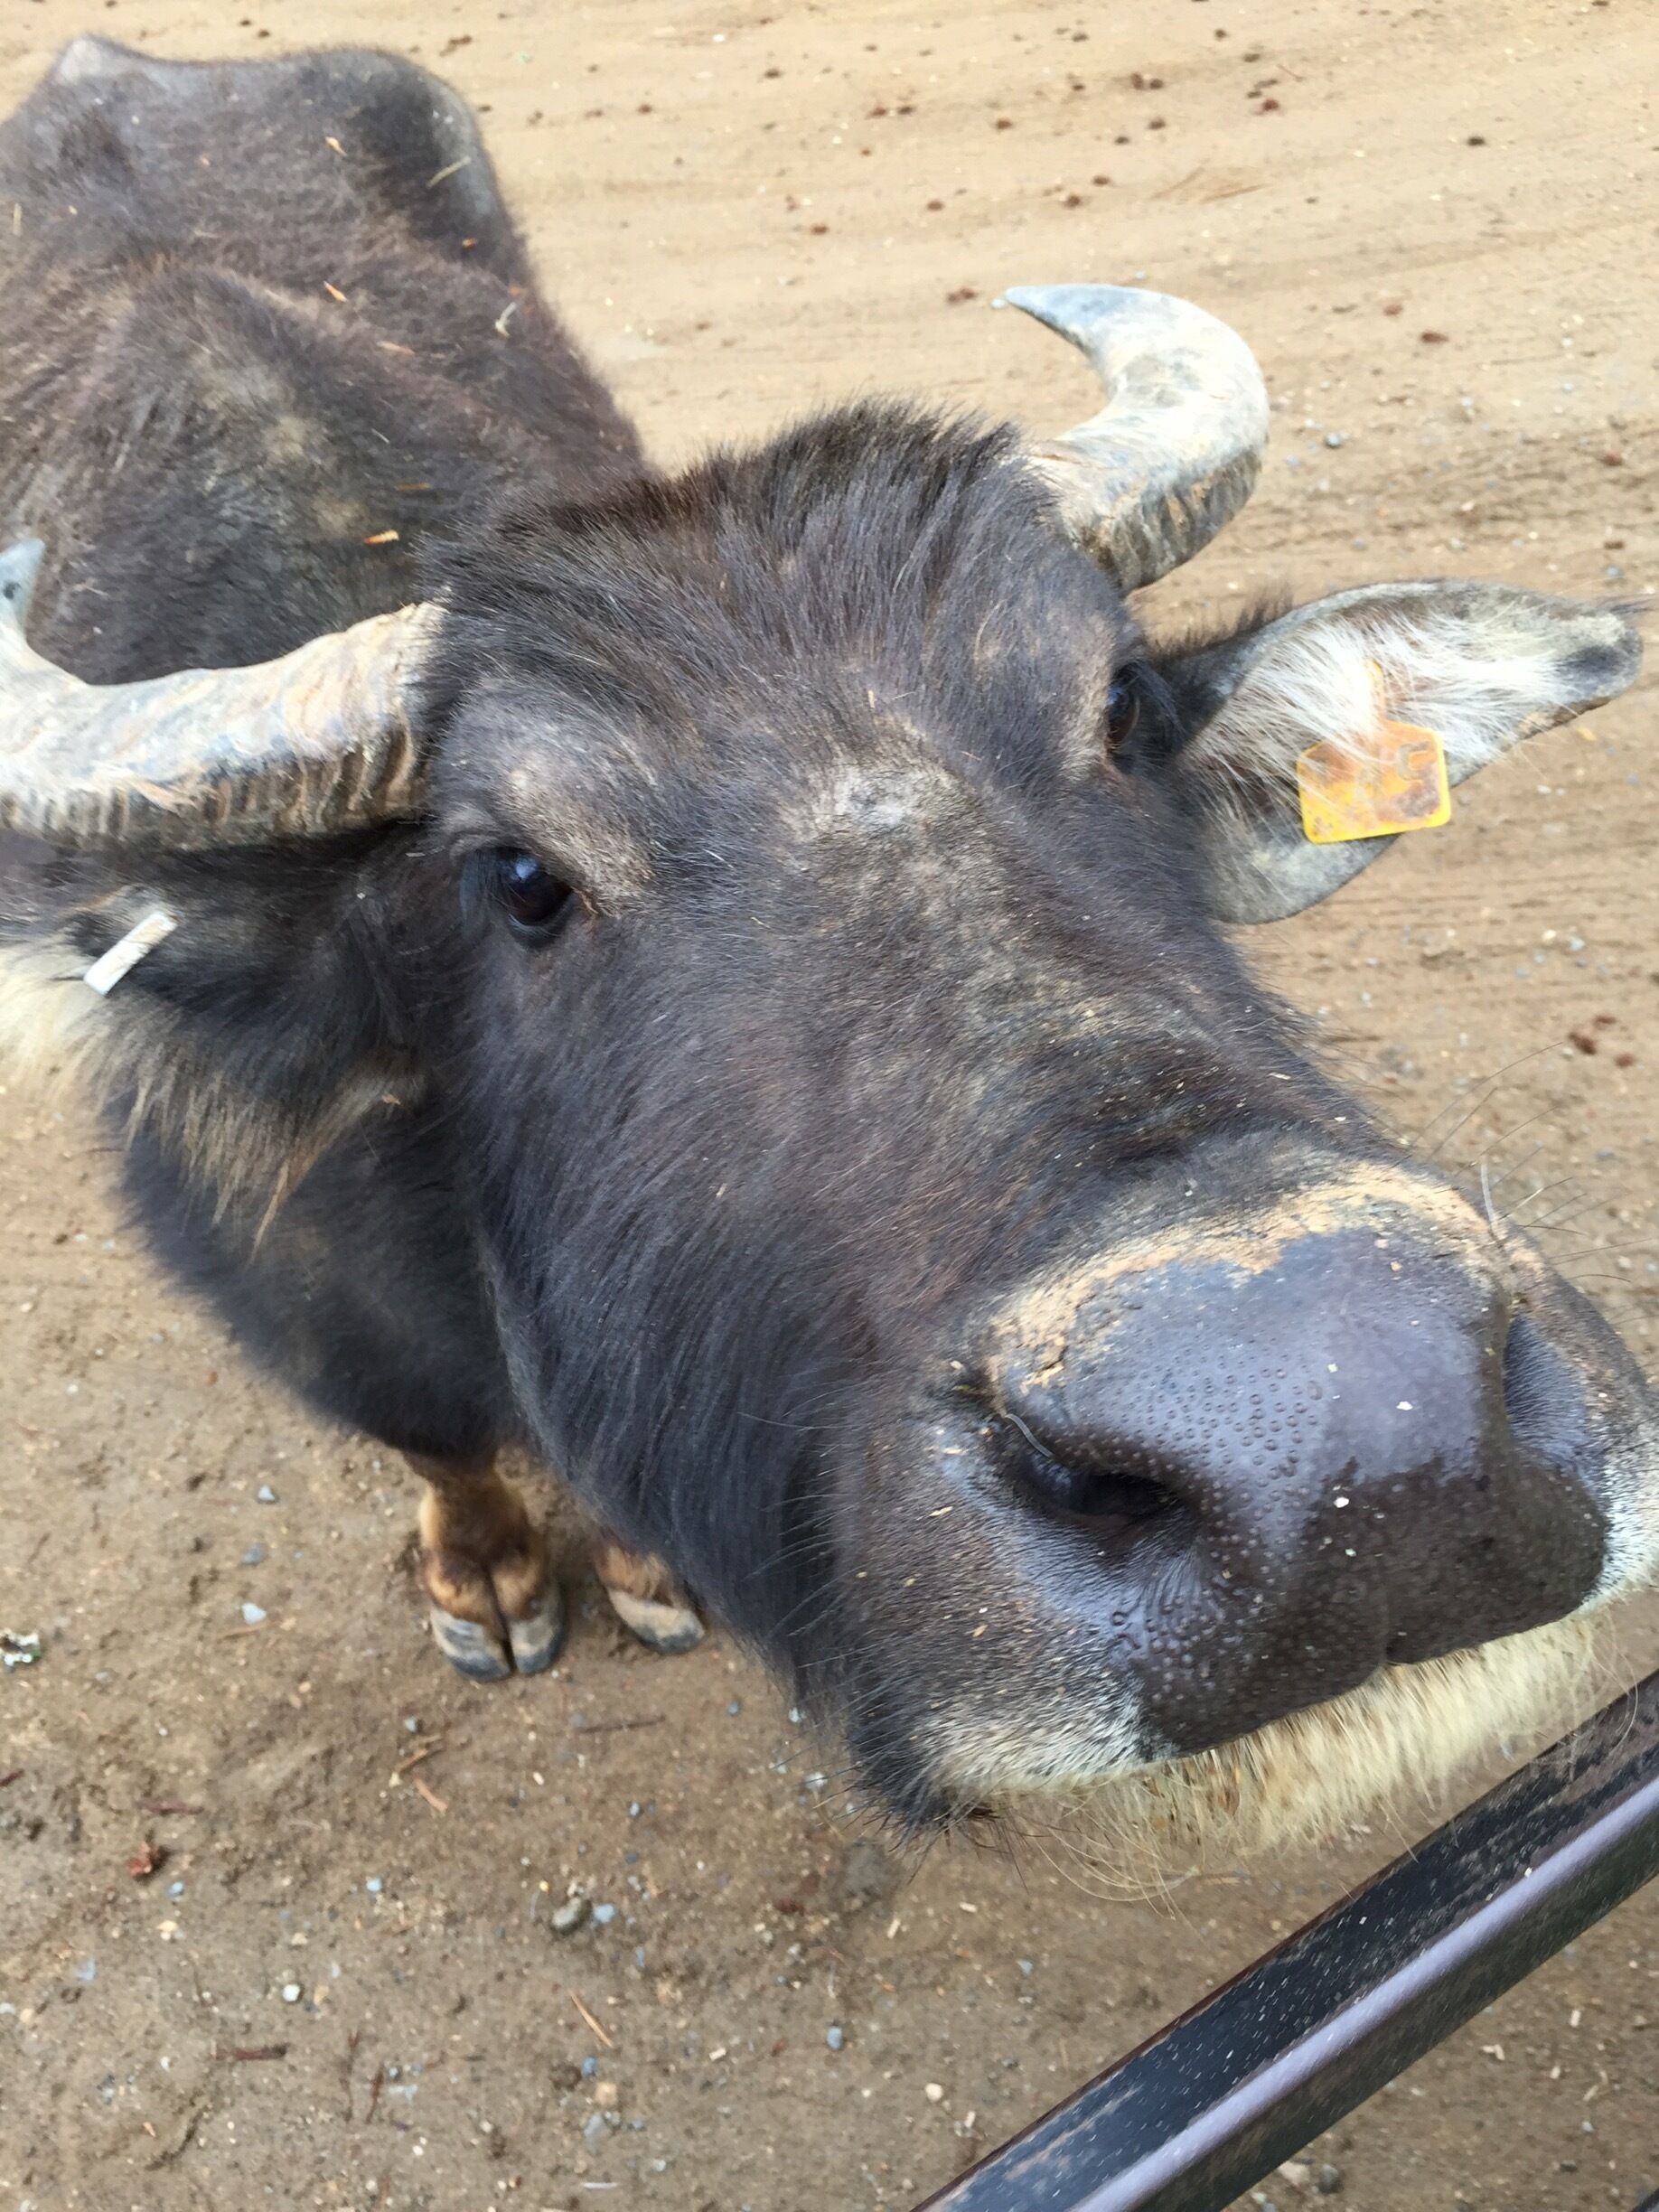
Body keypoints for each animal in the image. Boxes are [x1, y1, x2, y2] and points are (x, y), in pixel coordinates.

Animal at [0, 37, 1652, 1852]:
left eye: (1119, 712)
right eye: (520, 878)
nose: (1349, 1434)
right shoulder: (315, 1316)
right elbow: (438, 1441)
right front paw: (489, 1573)